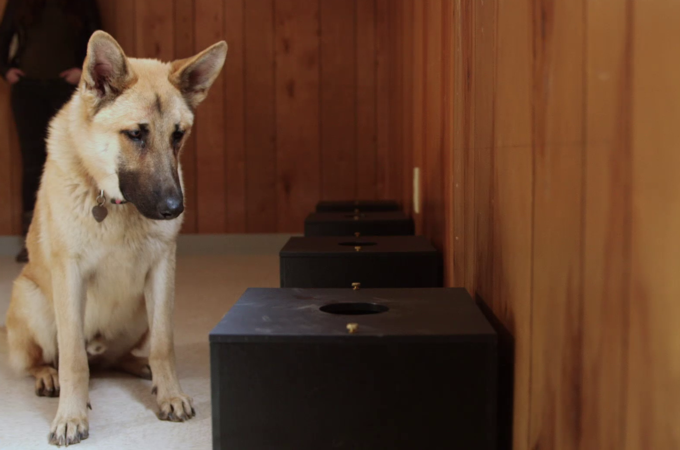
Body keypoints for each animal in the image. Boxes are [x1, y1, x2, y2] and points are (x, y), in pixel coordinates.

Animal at [5, 30, 227, 446]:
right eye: (135, 134)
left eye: (178, 135)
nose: (175, 208)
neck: (112, 201)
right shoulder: (69, 276)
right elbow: (73, 359)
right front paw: (71, 416)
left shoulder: (162, 272)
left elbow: (164, 345)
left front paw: (169, 393)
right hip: (34, 300)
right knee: (42, 360)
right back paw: (48, 375)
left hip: (141, 313)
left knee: (121, 357)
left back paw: (139, 367)